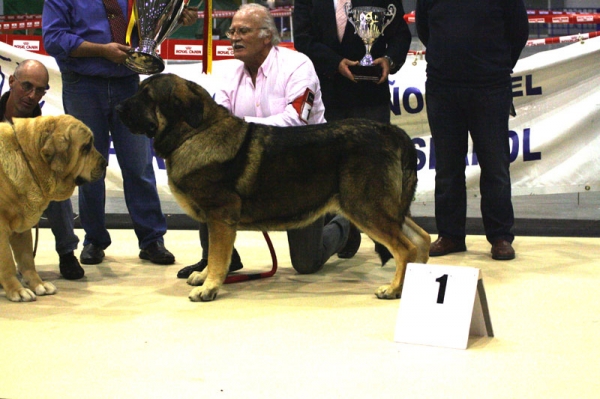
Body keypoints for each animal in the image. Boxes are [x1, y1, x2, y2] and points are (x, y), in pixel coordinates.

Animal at [0, 115, 106, 304]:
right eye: (86, 147)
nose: (106, 163)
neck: (29, 159)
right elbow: (7, 262)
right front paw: (17, 290)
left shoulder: (22, 228)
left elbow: (27, 259)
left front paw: (38, 284)